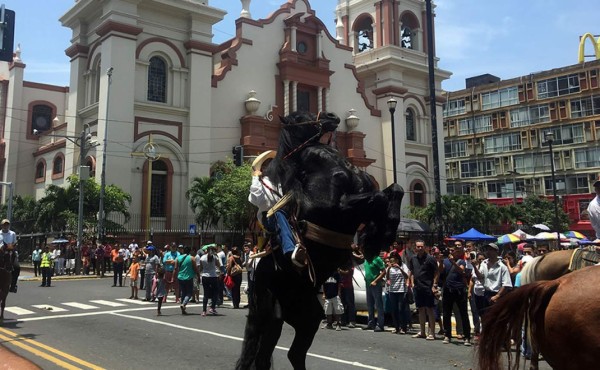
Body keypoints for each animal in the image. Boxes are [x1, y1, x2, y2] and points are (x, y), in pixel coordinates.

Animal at [234, 111, 404, 368]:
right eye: (298, 116)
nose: (331, 116)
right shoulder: (333, 208)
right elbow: (377, 197)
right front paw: (372, 238)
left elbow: (395, 189)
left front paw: (377, 236)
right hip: (269, 316)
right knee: (260, 358)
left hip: (308, 316)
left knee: (293, 354)